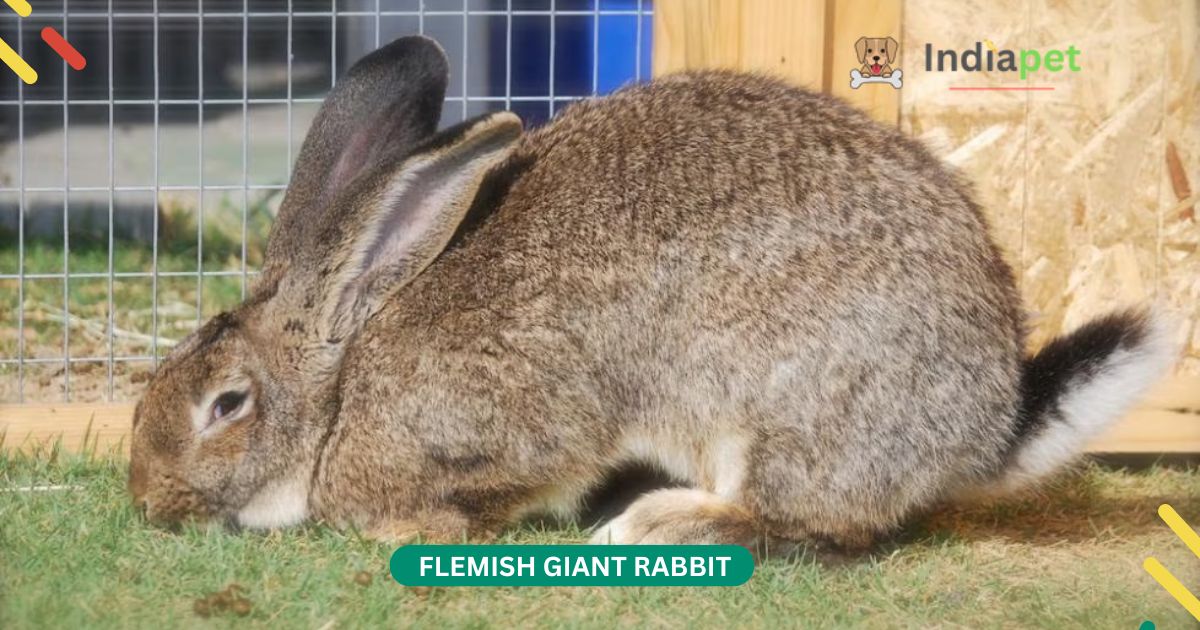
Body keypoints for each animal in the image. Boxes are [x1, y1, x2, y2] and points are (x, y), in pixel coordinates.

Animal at [126, 36, 1176, 552]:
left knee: (795, 523)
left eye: (227, 404)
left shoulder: (515, 428)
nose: (147, 501)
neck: (343, 385)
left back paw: (648, 525)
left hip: (782, 416)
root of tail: (988, 424)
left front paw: (419, 528)